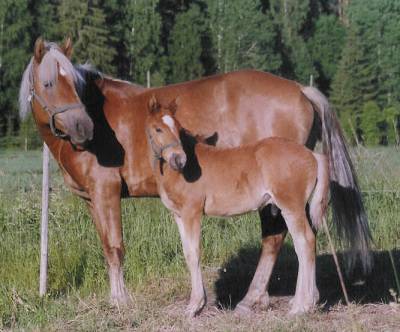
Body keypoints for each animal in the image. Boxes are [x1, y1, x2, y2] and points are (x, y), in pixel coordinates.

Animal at [145, 96, 330, 316]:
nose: (179, 160)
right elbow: (187, 253)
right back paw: (303, 302)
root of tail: (313, 155)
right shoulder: (179, 215)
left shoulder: (192, 213)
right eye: (157, 129)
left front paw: (195, 305)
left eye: (178, 128)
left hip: (291, 207)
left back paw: (301, 307)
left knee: (304, 242)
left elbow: (195, 253)